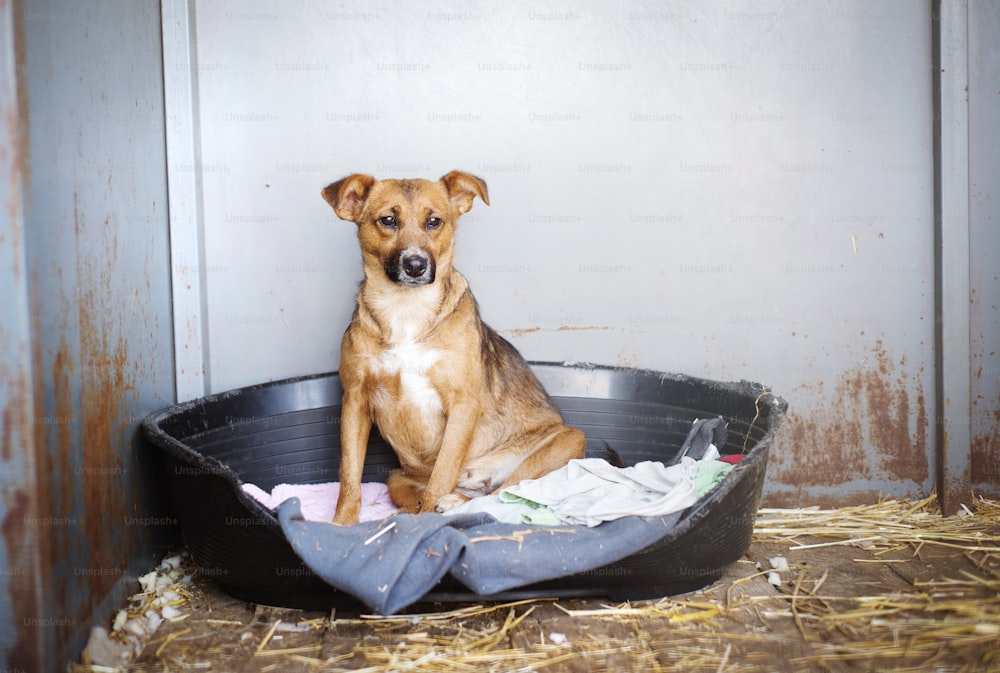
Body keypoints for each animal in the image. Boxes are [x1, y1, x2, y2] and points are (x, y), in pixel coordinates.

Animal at [320, 169, 584, 524]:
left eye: (434, 221)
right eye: (388, 220)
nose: (415, 265)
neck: (406, 310)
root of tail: (477, 479)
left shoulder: (463, 404)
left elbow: (442, 472)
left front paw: (429, 516)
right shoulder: (355, 401)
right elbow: (349, 476)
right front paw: (342, 524)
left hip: (567, 439)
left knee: (506, 494)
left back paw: (454, 502)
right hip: (396, 479)